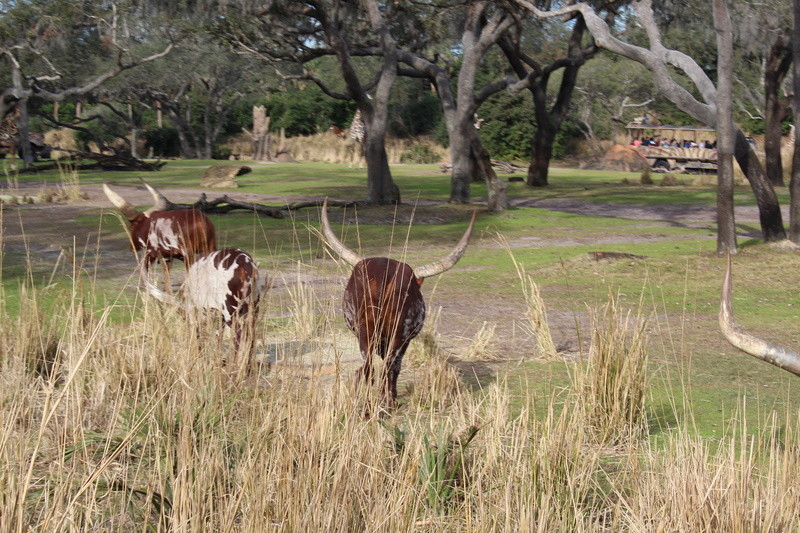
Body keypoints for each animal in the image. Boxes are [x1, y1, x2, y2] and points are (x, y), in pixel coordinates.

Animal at [322, 200, 478, 408]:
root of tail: (384, 274)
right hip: (397, 335)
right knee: (387, 366)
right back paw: (387, 401)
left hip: (367, 332)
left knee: (369, 367)